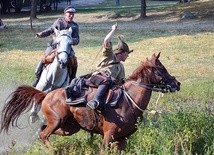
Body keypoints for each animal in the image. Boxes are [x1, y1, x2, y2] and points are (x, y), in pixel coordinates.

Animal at [0, 53, 181, 151]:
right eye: (161, 69)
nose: (177, 83)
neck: (128, 100)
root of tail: (46, 95)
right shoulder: (108, 136)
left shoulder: (121, 139)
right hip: (57, 121)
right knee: (44, 134)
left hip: (68, 127)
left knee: (42, 131)